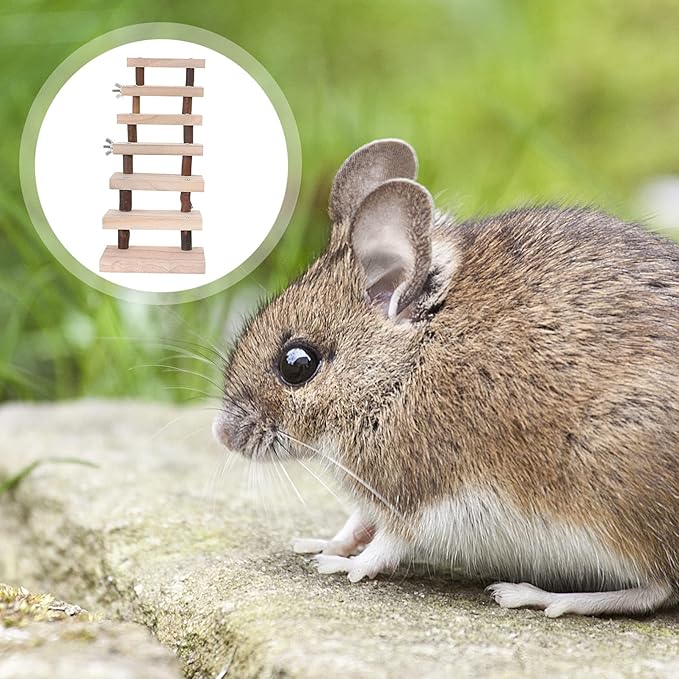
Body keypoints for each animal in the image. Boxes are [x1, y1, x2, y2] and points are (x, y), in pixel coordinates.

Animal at [213, 138, 679, 617]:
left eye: (297, 364)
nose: (223, 434)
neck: (404, 363)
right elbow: (357, 521)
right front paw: (321, 543)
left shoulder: (425, 499)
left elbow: (387, 544)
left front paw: (342, 566)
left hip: (611, 496)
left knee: (655, 588)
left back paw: (537, 596)